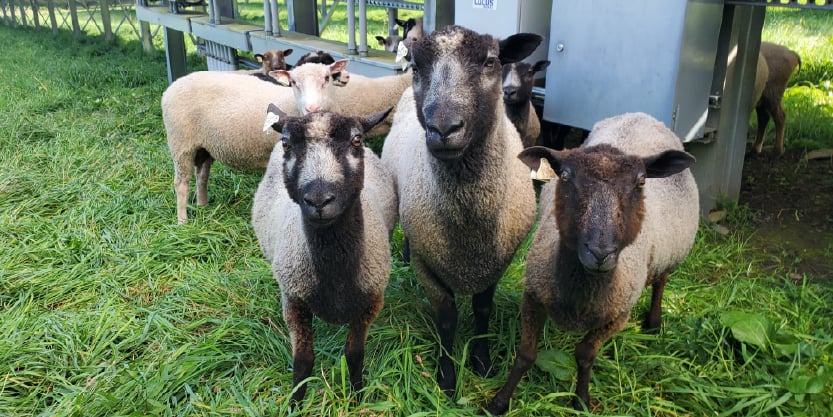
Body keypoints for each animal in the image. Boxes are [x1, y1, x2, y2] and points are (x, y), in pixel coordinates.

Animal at [161, 60, 348, 224]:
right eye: (294, 82)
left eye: (327, 78)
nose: (312, 108)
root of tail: (171, 87)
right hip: (181, 144)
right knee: (181, 183)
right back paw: (183, 222)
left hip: (204, 146)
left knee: (202, 175)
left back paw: (203, 206)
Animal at [251, 105, 396, 404]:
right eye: (287, 143)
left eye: (356, 140)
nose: (319, 200)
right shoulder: (294, 301)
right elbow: (303, 361)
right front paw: (295, 404)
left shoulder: (371, 303)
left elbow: (354, 355)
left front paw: (357, 397)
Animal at [379, 25, 542, 396]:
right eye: (416, 66)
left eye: (491, 61)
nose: (443, 129)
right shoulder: (428, 265)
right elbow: (447, 320)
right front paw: (447, 379)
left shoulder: (498, 262)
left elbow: (482, 310)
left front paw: (482, 361)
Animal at [485, 112, 699, 414]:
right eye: (565, 176)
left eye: (641, 182)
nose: (600, 252)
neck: (581, 288)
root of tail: (641, 115)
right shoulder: (534, 294)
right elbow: (526, 355)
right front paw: (499, 401)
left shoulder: (617, 317)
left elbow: (585, 355)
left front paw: (581, 400)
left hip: (669, 254)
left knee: (661, 281)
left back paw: (654, 322)